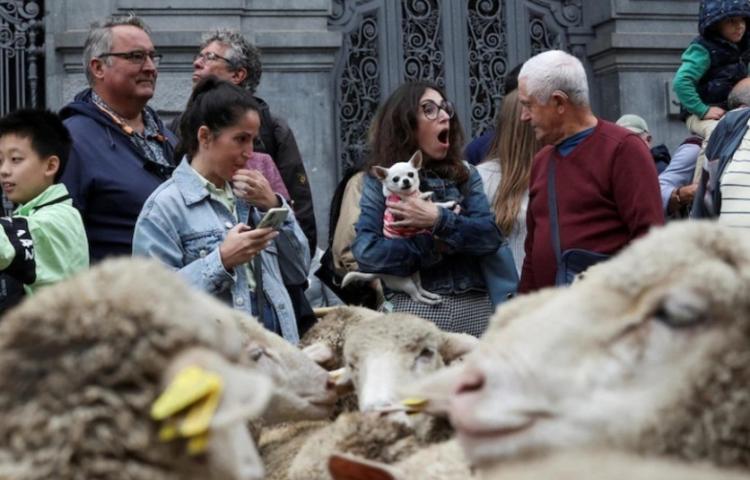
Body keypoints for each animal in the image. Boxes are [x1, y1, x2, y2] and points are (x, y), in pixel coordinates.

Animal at [344, 152, 456, 306]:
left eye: (410, 174)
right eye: (395, 179)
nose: (406, 181)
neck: (409, 195)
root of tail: (379, 273)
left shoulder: (426, 205)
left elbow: (436, 205)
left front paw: (447, 204)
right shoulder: (400, 215)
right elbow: (418, 201)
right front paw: (424, 195)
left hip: (415, 274)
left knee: (419, 289)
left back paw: (432, 296)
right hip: (405, 282)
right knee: (416, 297)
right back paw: (431, 302)